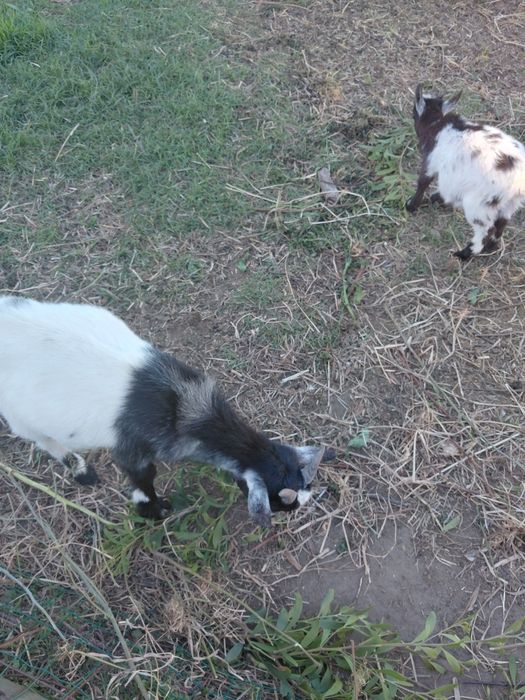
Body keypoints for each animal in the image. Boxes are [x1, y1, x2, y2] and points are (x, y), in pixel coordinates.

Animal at [0, 296, 334, 526]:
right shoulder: (133, 449)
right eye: (281, 503)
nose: (295, 512)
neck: (185, 409)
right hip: (18, 414)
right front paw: (154, 511)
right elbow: (144, 479)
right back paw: (81, 470)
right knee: (41, 438)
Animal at [406, 85, 525, 260]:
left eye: (414, 112)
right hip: (510, 202)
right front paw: (434, 199)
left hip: (479, 203)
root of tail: (518, 180)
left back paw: (464, 254)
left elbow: (423, 182)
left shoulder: (431, 162)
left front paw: (411, 205)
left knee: (486, 229)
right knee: (502, 222)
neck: (437, 124)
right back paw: (491, 247)